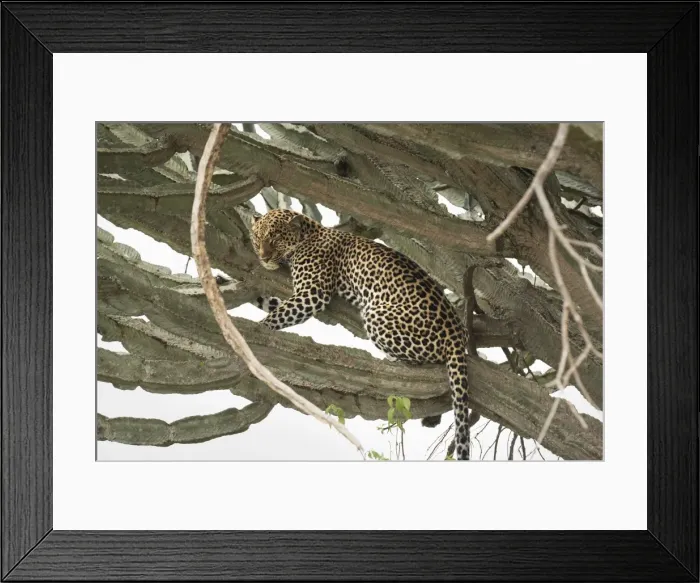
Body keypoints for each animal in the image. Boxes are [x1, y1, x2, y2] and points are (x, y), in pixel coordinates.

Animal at [250, 208, 473, 460]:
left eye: (275, 237)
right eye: (257, 237)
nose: (264, 257)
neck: (307, 234)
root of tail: (457, 332)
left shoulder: (312, 293)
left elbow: (278, 315)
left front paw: (257, 329)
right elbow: (274, 305)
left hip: (376, 315)